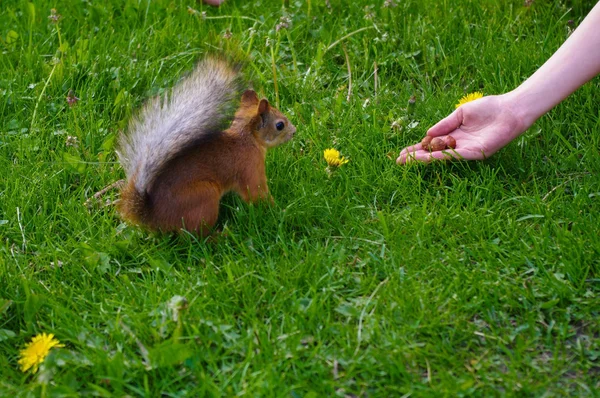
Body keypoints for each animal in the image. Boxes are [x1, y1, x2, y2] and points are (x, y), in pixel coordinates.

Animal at [115, 57, 296, 235]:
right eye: (280, 125)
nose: (294, 132)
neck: (246, 137)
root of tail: (154, 217)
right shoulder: (250, 167)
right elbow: (256, 193)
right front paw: (278, 210)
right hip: (204, 197)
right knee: (198, 235)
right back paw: (221, 236)